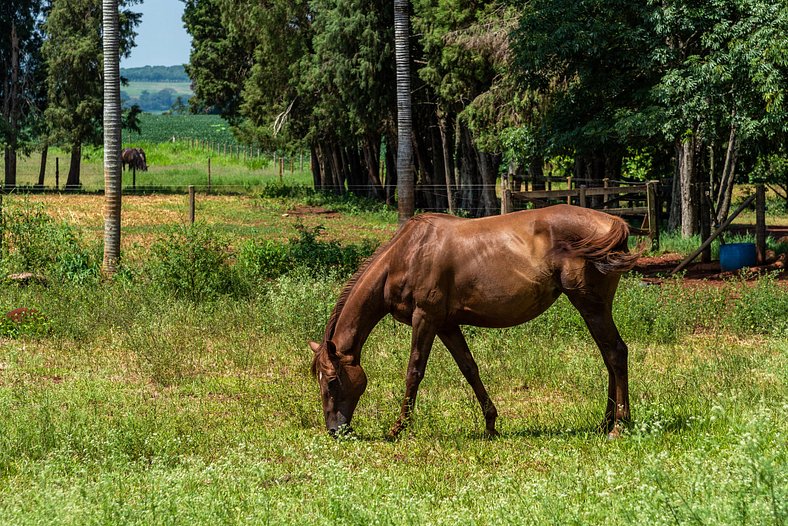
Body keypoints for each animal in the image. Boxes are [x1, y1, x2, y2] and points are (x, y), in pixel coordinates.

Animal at [310, 206, 640, 442]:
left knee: (616, 352)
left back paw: (619, 425)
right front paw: (491, 424)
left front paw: (398, 428)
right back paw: (605, 422)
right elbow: (469, 369)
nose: (335, 430)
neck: (407, 254)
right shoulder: (446, 325)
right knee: (609, 356)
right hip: (593, 308)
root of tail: (613, 223)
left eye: (332, 380)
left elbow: (414, 372)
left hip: (590, 305)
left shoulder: (425, 318)